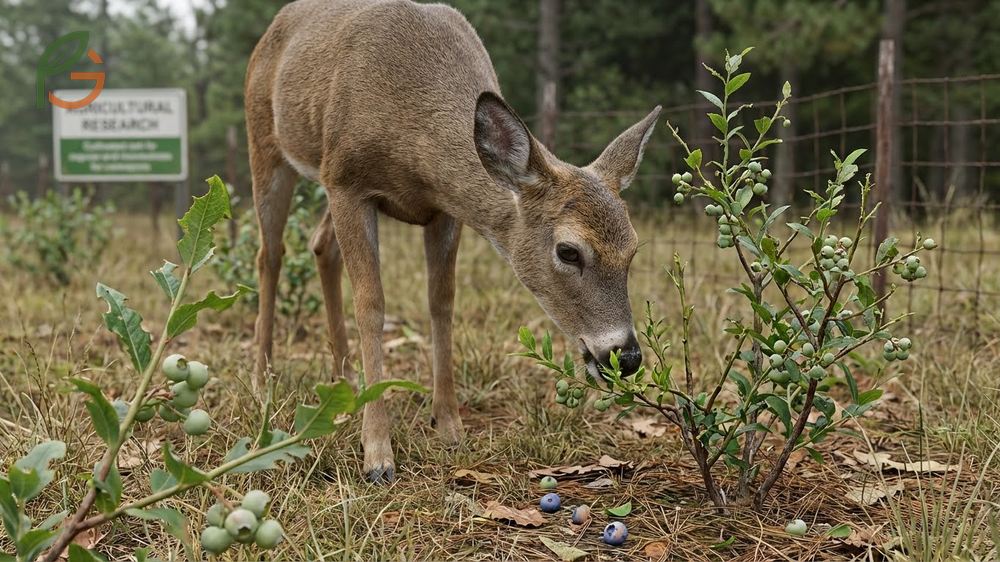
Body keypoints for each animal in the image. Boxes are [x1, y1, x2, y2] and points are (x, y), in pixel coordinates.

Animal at [246, 0, 661, 483]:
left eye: (633, 249)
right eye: (568, 251)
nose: (625, 356)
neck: (414, 144)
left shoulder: (446, 209)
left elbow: (441, 302)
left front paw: (449, 425)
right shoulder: (347, 180)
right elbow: (371, 305)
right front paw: (378, 454)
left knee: (320, 246)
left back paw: (346, 381)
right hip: (268, 145)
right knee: (269, 253)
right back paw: (263, 378)